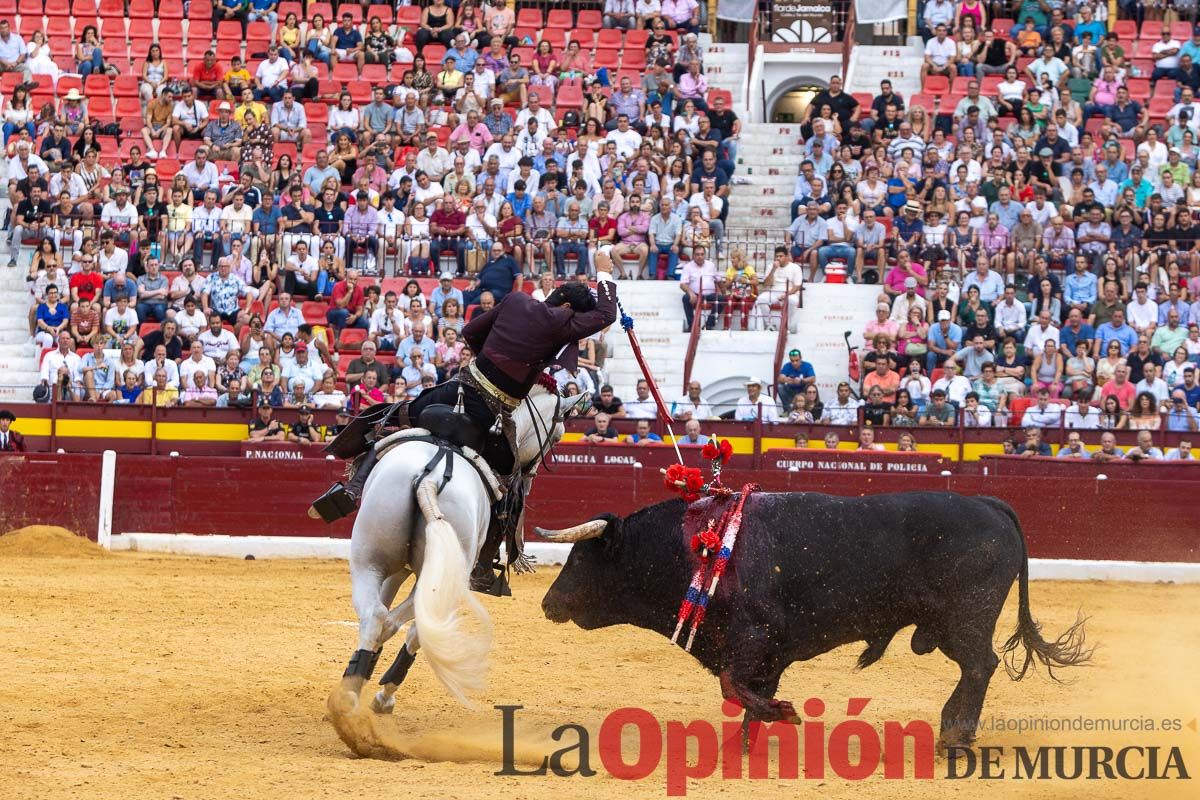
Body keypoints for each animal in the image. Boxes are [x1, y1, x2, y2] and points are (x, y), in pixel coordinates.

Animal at [333, 383, 585, 714]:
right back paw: (380, 695)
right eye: (557, 436)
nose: (529, 479)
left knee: (376, 614)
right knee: (410, 626)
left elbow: (385, 609)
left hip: (368, 558)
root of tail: (429, 479)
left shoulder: (398, 569)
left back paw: (349, 693)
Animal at [540, 491, 1094, 748]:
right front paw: (744, 745)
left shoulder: (753, 638)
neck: (697, 548)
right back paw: (948, 730)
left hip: (966, 620)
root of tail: (987, 502)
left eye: (581, 557)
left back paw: (955, 737)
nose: (547, 603)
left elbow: (732, 685)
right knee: (976, 668)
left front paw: (782, 715)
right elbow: (746, 693)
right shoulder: (766, 653)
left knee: (981, 666)